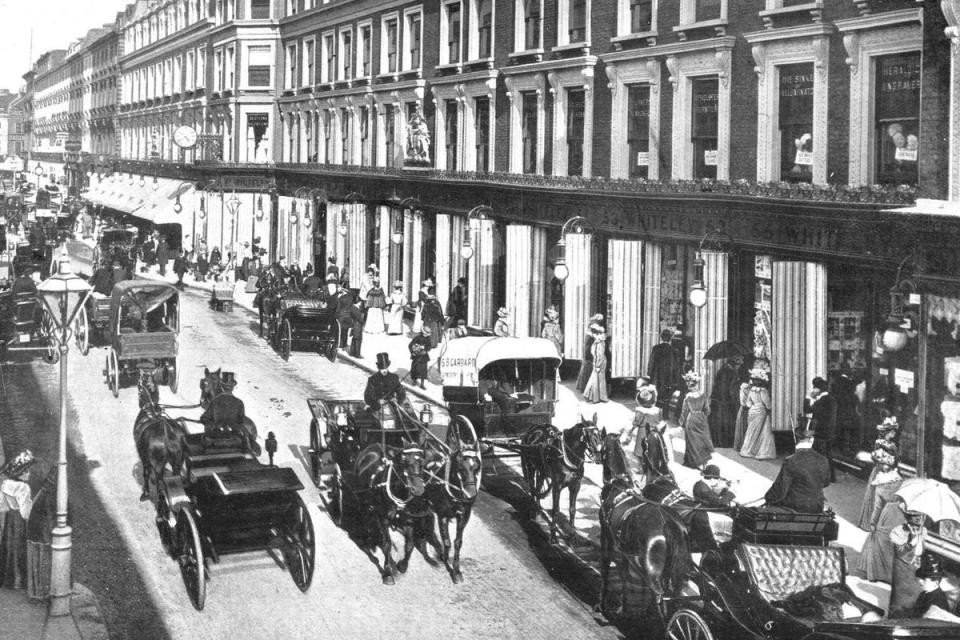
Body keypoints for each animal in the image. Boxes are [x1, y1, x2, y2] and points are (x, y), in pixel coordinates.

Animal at [133, 364, 189, 500]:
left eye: (138, 385)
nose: (139, 403)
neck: (150, 409)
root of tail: (168, 433)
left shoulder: (143, 456)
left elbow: (146, 473)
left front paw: (145, 493)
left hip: (158, 465)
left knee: (160, 484)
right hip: (178, 463)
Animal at [354, 440, 426, 584]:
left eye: (423, 462)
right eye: (403, 460)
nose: (418, 489)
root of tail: (372, 445)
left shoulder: (408, 520)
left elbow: (410, 544)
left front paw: (402, 565)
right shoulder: (383, 518)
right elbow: (387, 543)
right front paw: (387, 572)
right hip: (362, 501)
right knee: (365, 518)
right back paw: (368, 539)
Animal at [596, 432, 688, 616]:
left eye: (601, 447)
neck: (619, 485)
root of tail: (669, 524)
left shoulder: (606, 536)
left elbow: (606, 570)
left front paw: (602, 604)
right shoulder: (625, 550)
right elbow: (624, 576)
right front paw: (622, 607)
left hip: (651, 570)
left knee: (660, 596)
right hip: (676, 573)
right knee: (673, 598)